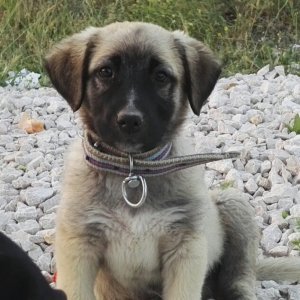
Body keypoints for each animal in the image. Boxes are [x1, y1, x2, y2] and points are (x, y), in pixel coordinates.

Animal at [44, 21, 300, 300]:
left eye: (161, 76)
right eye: (106, 72)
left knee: (238, 278)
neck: (133, 171)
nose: (130, 120)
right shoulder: (79, 246)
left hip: (233, 204)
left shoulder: (186, 249)